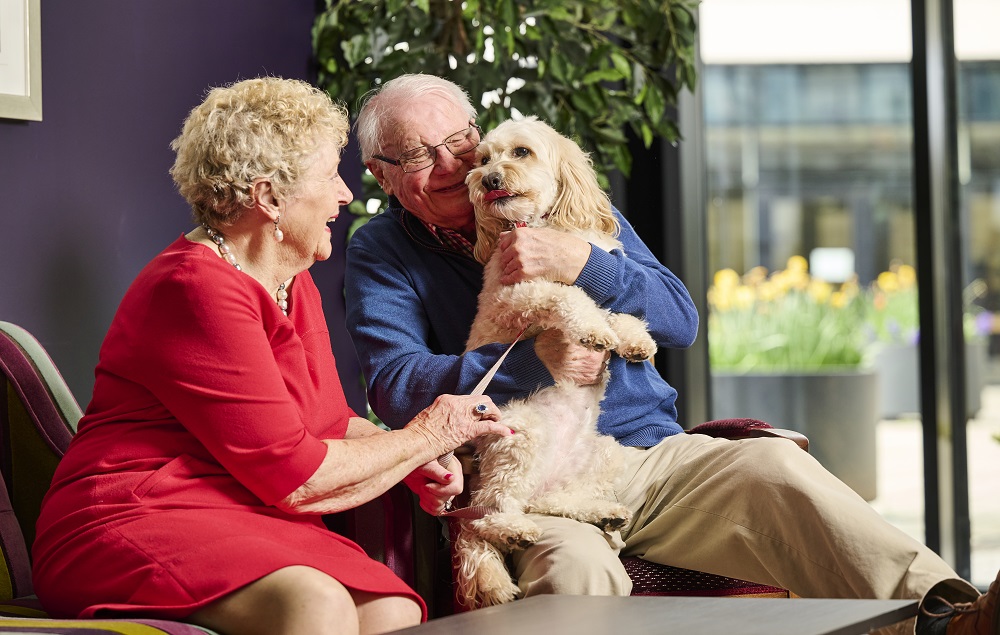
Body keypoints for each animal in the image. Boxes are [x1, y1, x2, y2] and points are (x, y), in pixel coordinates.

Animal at [454, 119, 656, 612]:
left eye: (521, 152)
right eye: (482, 159)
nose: (489, 180)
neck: (539, 224)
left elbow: (615, 306)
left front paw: (634, 338)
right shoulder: (517, 296)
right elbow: (571, 296)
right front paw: (594, 331)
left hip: (604, 452)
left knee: (547, 501)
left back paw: (601, 514)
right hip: (521, 436)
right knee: (487, 512)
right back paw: (511, 529)